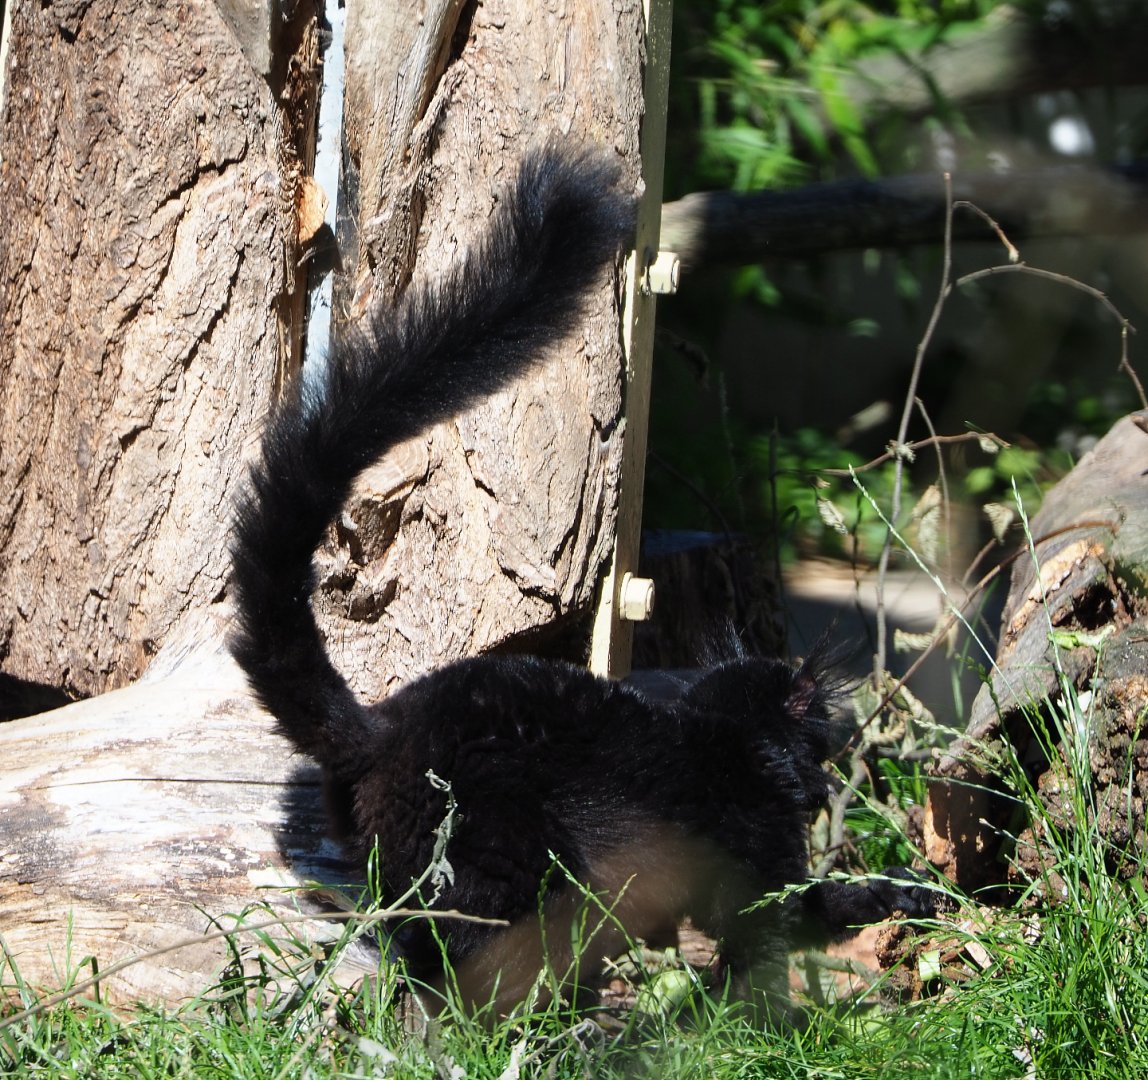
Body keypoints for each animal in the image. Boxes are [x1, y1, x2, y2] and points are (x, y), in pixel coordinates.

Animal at [228, 147, 938, 1020]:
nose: (828, 768)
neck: (731, 736)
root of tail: (377, 733)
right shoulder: (752, 847)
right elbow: (772, 927)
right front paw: (794, 1000)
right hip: (493, 841)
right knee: (484, 948)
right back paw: (555, 1022)